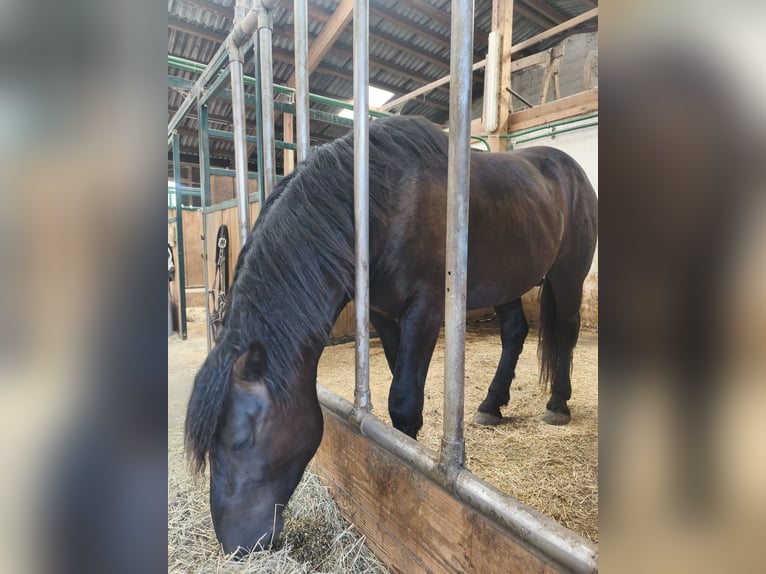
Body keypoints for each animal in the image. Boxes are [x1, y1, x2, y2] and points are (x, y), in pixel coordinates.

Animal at [185, 115, 598, 554]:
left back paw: (557, 404)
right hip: (505, 281)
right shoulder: (382, 313)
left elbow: (403, 400)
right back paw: (491, 404)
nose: (236, 546)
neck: (381, 204)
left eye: (241, 441)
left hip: (568, 275)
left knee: (566, 332)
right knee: (515, 332)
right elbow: (401, 381)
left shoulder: (426, 308)